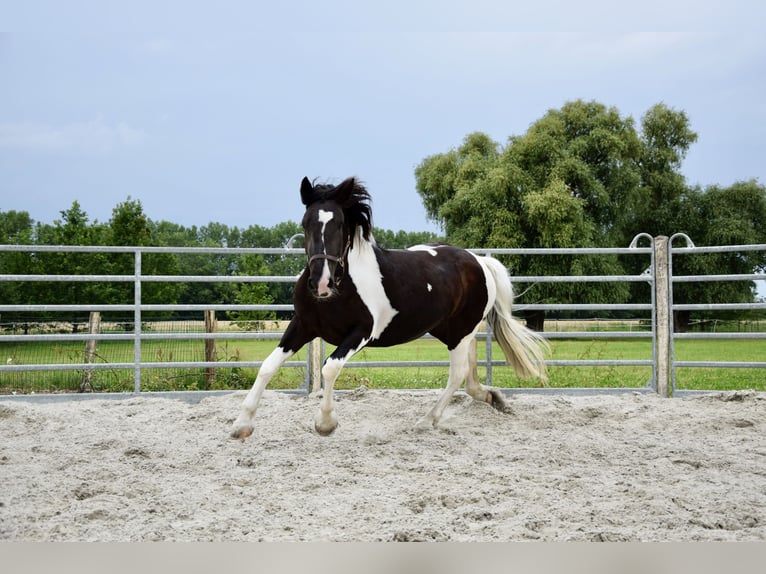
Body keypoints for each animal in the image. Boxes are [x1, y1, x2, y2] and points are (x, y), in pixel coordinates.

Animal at [231, 178, 548, 438]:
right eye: (306, 223)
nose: (321, 283)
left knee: (457, 373)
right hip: (454, 331)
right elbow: (267, 366)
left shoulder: (361, 333)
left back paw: (426, 421)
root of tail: (480, 261)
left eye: (339, 224)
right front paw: (241, 425)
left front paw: (325, 423)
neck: (341, 288)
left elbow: (329, 368)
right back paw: (492, 398)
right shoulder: (304, 326)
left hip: (460, 332)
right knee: (469, 375)